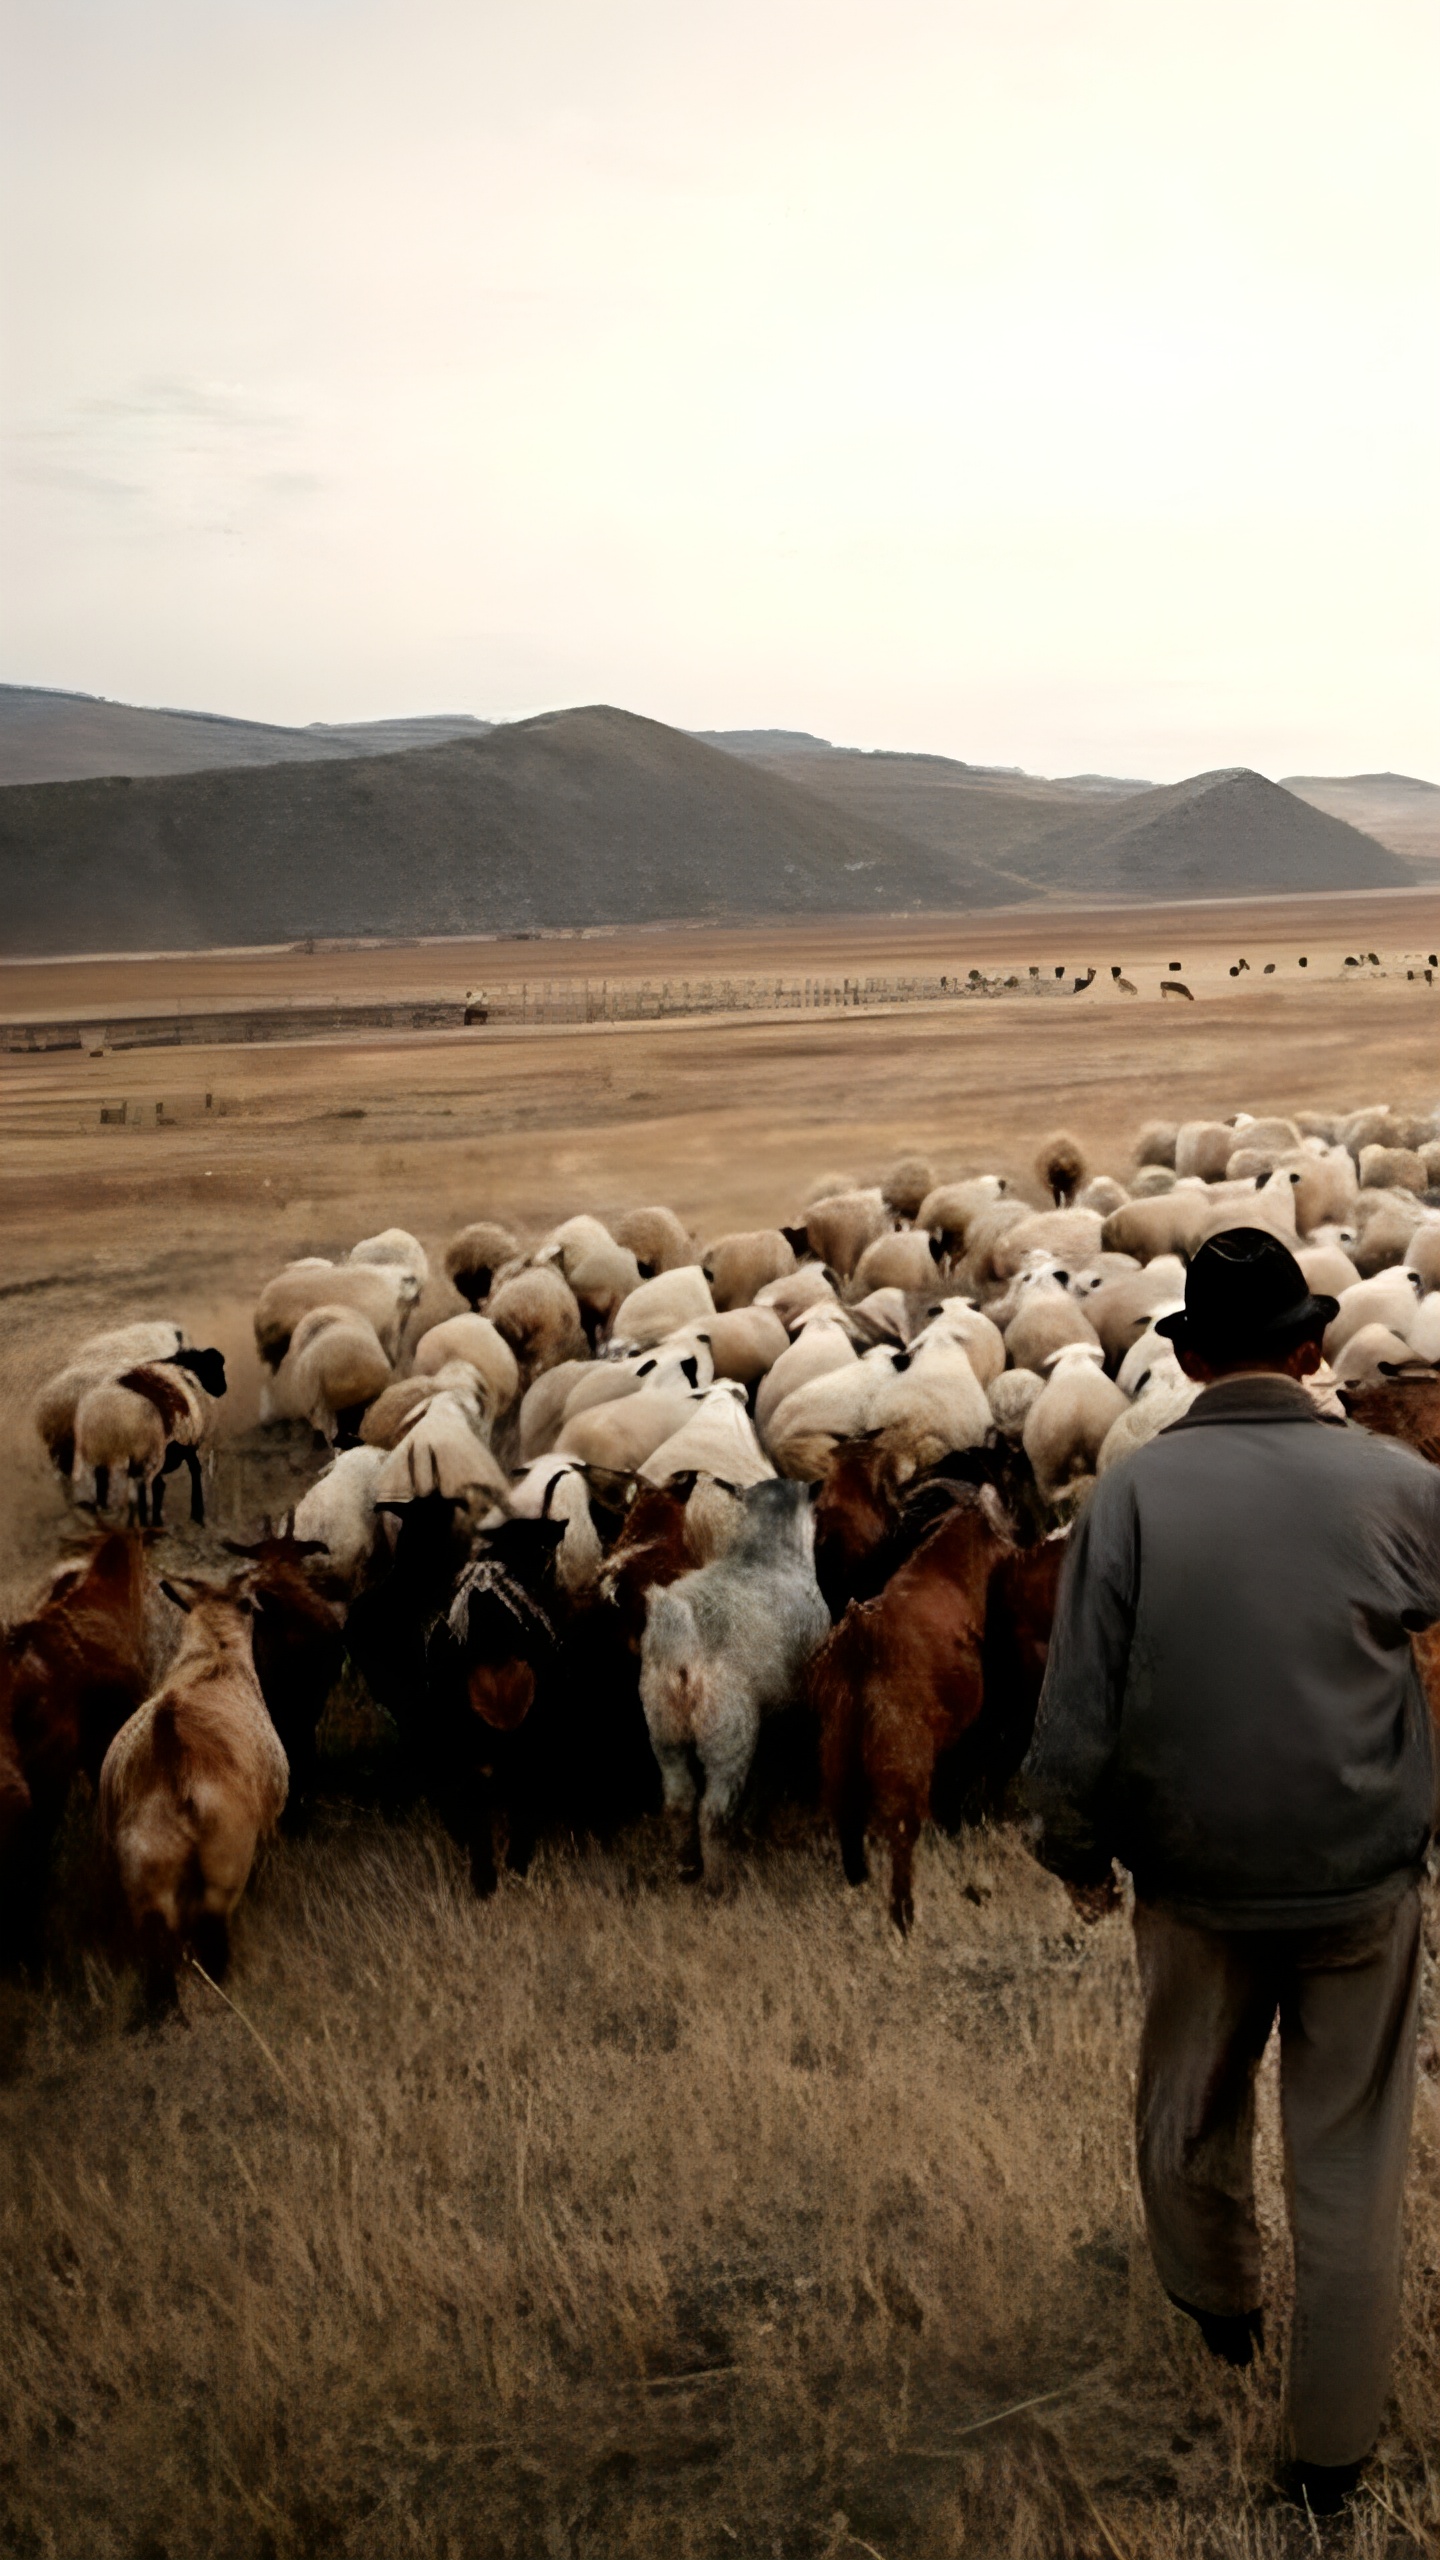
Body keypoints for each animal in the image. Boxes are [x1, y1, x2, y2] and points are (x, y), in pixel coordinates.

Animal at [98, 1566, 285, 2007]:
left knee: (159, 1952)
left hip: (145, 1872)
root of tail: (172, 1747)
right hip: (226, 1862)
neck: (214, 1652)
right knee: (212, 1936)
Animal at [635, 1484, 825, 1884]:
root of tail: (680, 1632)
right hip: (728, 1730)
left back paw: (687, 1867)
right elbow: (772, 1766)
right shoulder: (790, 1705)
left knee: (679, 1800)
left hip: (663, 1726)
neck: (765, 1552)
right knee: (713, 1809)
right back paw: (718, 1884)